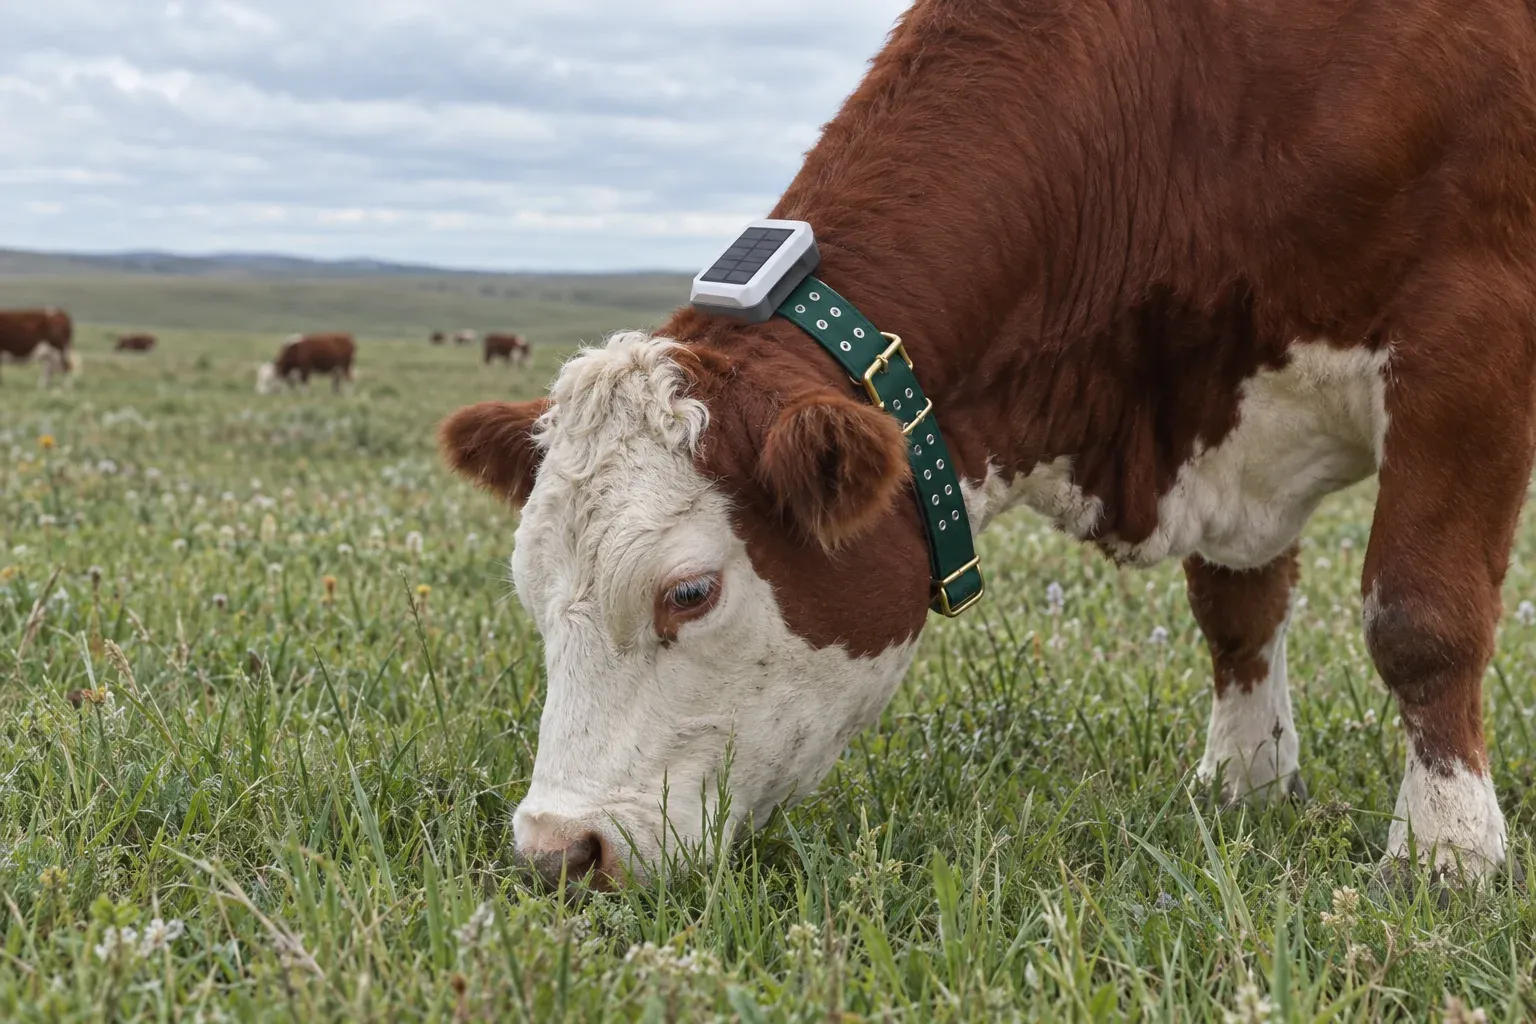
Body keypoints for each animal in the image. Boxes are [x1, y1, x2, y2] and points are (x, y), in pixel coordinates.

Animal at [438, 0, 1536, 889]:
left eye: (691, 592)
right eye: (532, 592)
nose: (555, 852)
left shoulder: (1472, 339)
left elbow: (1419, 617)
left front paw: (1444, 851)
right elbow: (1237, 614)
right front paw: (1246, 785)